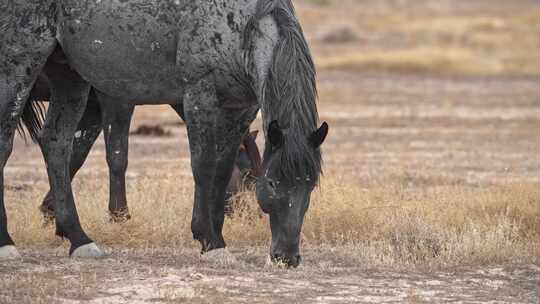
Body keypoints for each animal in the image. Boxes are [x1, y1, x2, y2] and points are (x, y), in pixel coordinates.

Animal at [25, 74, 262, 221]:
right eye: (248, 173)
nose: (257, 214)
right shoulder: (116, 100)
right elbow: (117, 155)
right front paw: (119, 216)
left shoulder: (92, 107)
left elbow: (74, 155)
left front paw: (51, 211)